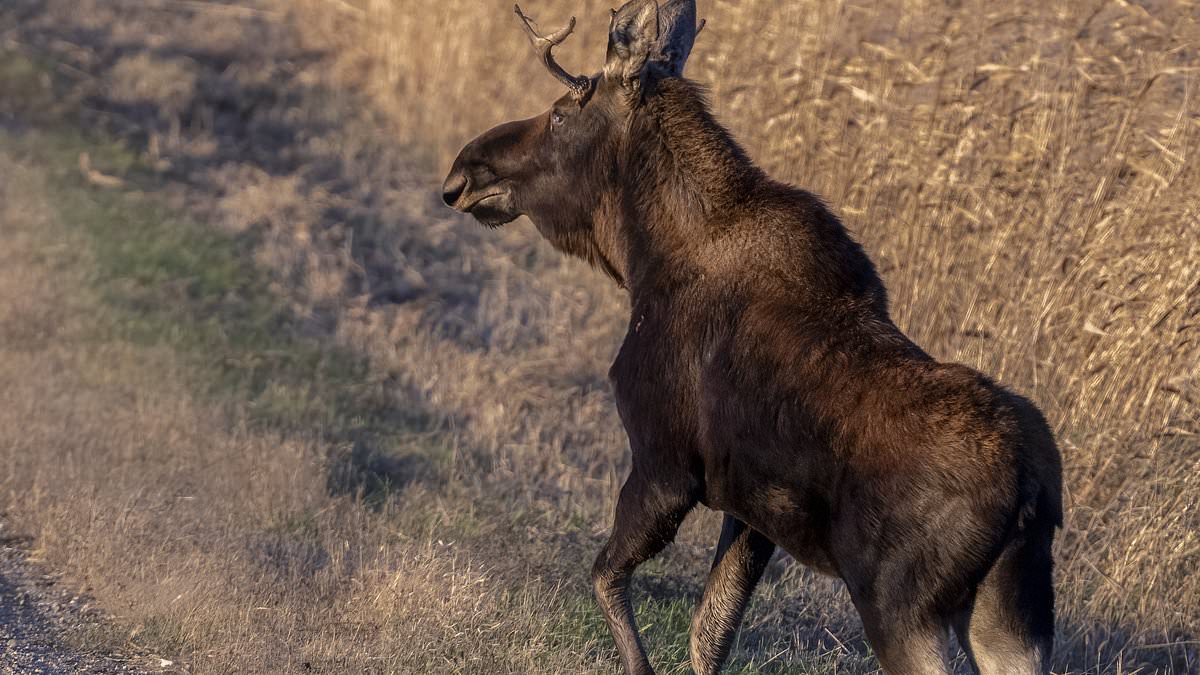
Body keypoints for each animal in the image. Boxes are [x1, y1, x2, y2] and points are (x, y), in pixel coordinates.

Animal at [441, 2, 1064, 674]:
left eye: (560, 113)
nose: (462, 173)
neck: (642, 258)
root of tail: (1030, 486)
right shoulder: (750, 513)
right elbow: (710, 630)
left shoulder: (664, 464)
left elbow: (609, 580)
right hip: (1010, 615)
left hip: (902, 609)